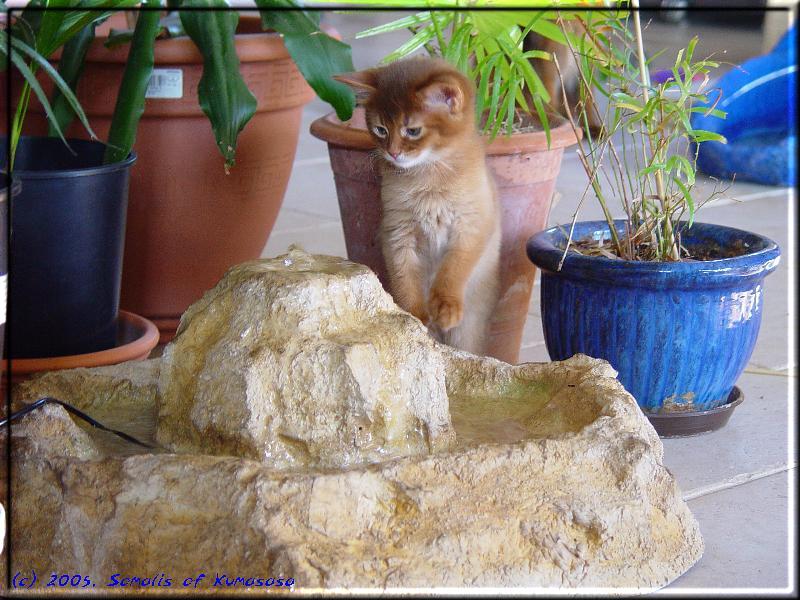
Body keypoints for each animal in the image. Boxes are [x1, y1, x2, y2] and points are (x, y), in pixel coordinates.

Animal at [336, 58, 500, 354]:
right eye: (380, 130)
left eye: (412, 131)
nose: (393, 152)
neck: (428, 178)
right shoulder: (397, 232)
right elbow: (404, 279)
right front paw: (415, 318)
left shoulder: (471, 226)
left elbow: (452, 269)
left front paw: (445, 306)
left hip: (469, 329)